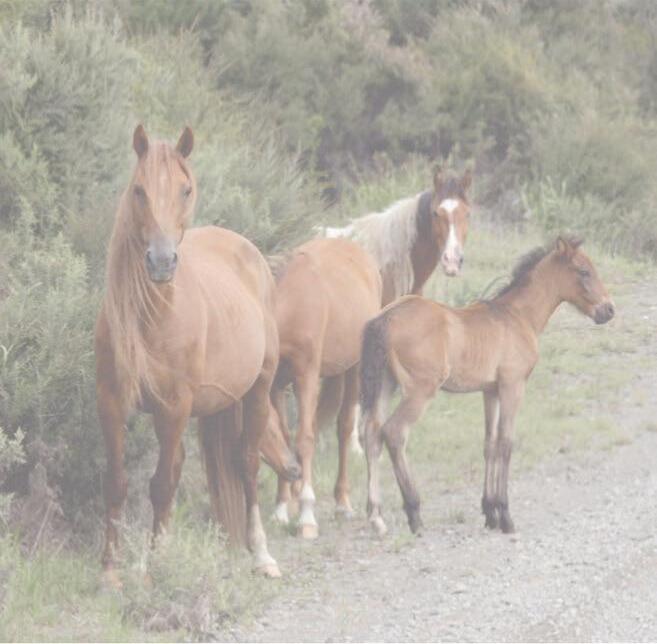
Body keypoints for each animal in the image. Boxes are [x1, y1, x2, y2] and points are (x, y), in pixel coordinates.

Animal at [95, 125, 299, 582]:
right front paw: (111, 570)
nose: (161, 261)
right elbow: (117, 482)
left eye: (185, 189)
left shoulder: (173, 407)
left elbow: (161, 485)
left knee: (246, 463)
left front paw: (156, 564)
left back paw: (261, 554)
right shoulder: (113, 403)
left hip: (258, 391)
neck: (152, 317)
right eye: (139, 190)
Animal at [259, 238, 382, 538]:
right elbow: (287, 436)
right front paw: (282, 508)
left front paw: (306, 515)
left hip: (354, 368)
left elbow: (304, 439)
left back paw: (343, 503)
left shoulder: (306, 376)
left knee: (345, 428)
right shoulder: (275, 385)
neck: (291, 304)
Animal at [359, 237, 615, 537]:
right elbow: (506, 443)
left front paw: (489, 511)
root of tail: (385, 318)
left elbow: (489, 443)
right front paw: (505, 515)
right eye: (584, 271)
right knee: (395, 433)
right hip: (419, 391)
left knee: (371, 435)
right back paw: (414, 512)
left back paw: (376, 516)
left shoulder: (490, 391)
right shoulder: (513, 386)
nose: (609, 310)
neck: (517, 316)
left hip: (384, 386)